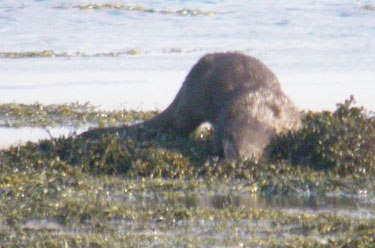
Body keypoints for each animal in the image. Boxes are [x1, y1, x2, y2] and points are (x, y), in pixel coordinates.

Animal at [80, 52, 302, 161]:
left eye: (257, 150)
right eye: (233, 146)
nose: (242, 159)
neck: (256, 108)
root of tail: (186, 83)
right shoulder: (223, 120)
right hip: (191, 105)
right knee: (179, 124)